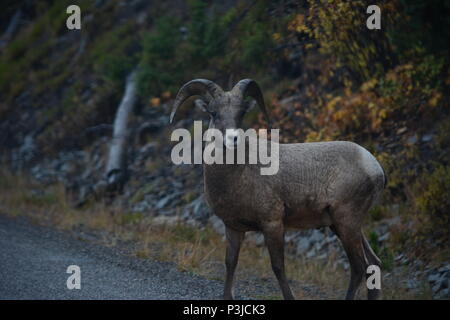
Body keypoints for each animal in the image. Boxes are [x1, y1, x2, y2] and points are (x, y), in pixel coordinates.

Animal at [171, 79, 384, 298]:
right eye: (214, 113)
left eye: (241, 113)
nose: (233, 139)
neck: (239, 173)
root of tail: (375, 167)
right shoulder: (233, 227)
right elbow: (230, 263)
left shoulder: (272, 224)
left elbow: (278, 267)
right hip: (343, 225)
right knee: (373, 264)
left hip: (346, 222)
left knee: (359, 266)